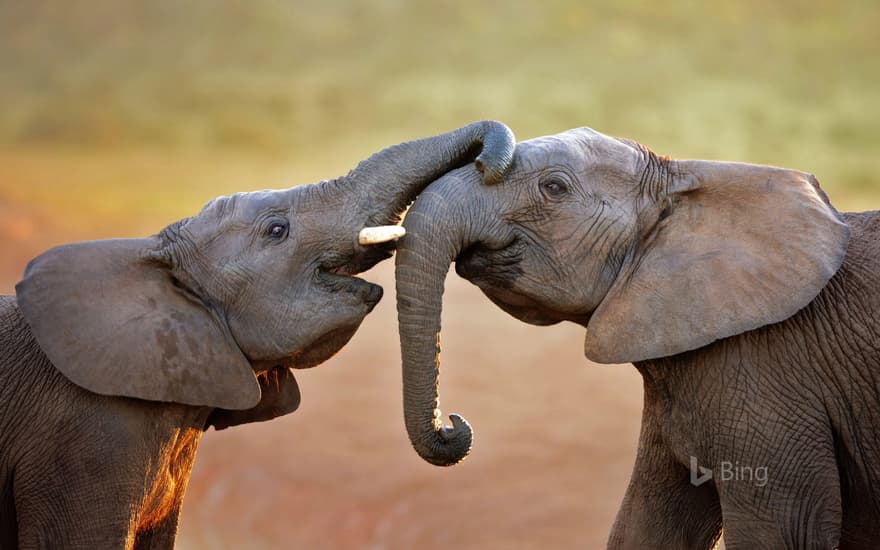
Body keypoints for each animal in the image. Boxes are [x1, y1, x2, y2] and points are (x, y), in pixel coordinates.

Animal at [394, 128, 880, 550]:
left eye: (554, 187)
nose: (452, 425)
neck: (684, 182)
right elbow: (647, 527)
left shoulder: (768, 372)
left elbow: (782, 533)